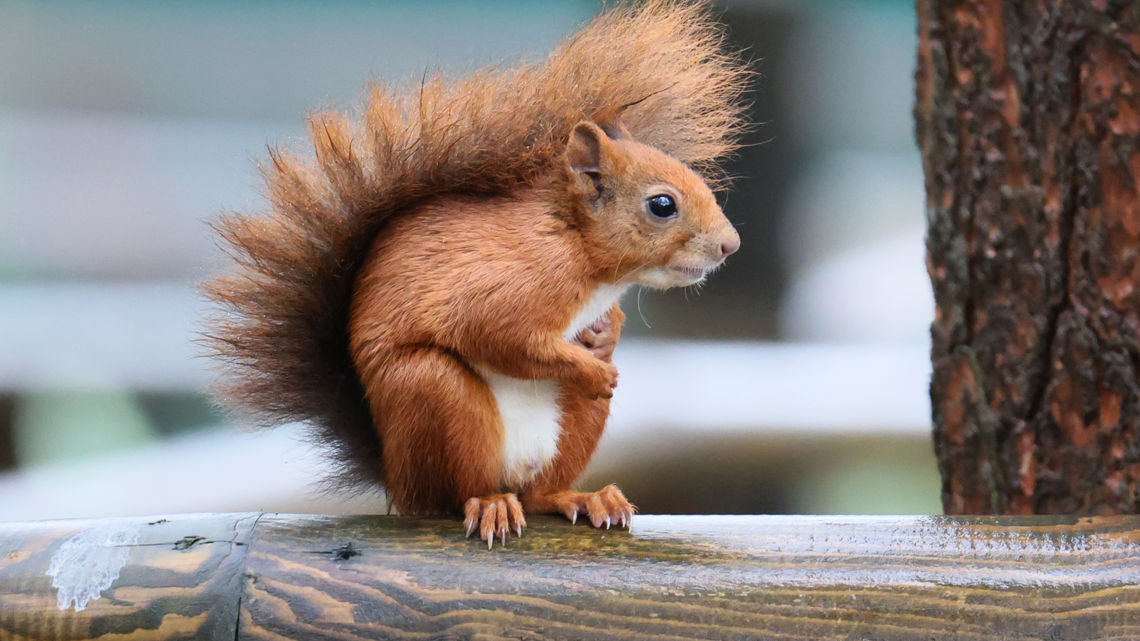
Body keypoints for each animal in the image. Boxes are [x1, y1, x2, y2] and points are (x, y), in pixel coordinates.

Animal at [204, 0, 749, 547]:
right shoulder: (510, 283)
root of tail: (396, 481)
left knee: (541, 493)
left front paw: (604, 335)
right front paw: (593, 367)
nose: (731, 245)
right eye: (662, 205)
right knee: (455, 493)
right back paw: (490, 503)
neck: (577, 248)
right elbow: (498, 335)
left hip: (569, 426)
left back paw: (584, 497)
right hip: (434, 394)